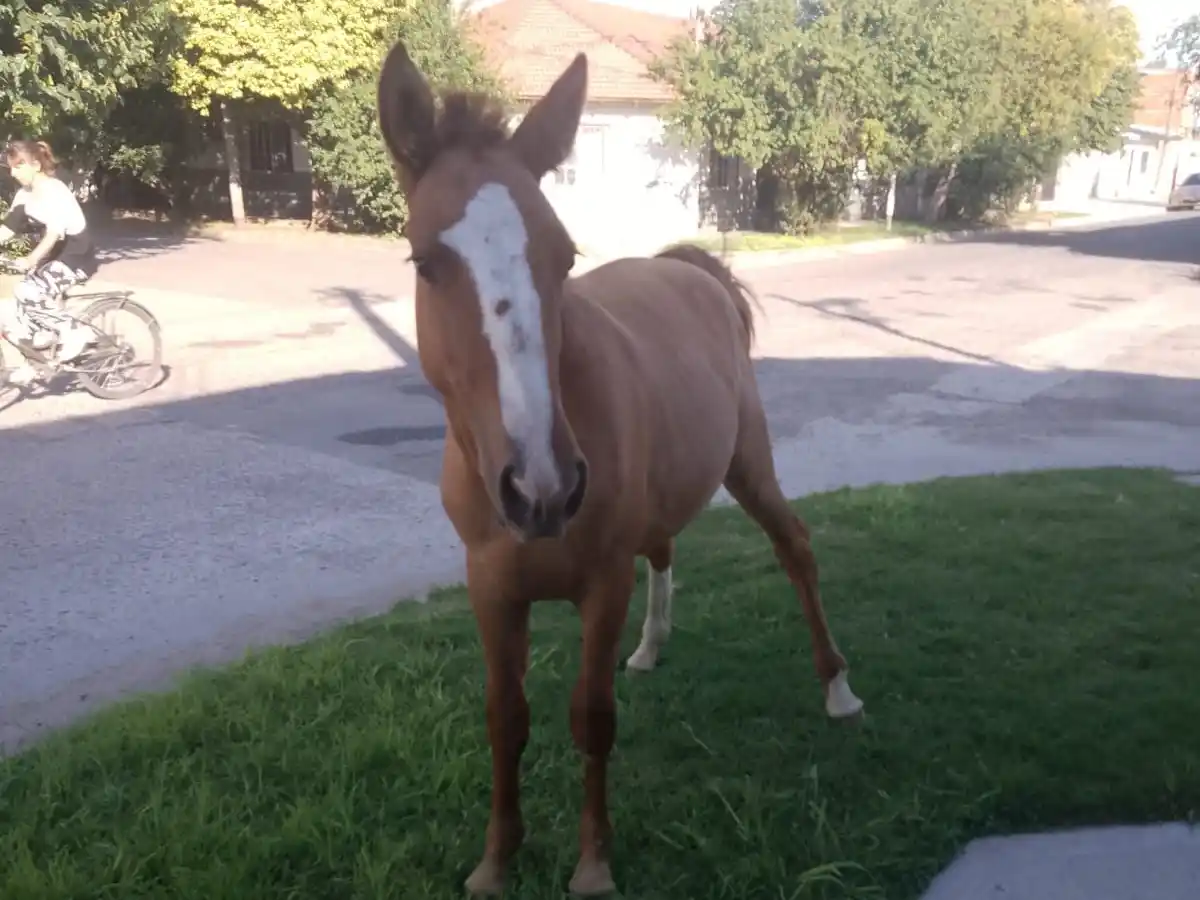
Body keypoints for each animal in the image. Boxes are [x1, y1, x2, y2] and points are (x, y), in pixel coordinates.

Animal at [375, 39, 864, 897]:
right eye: (424, 260)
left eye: (565, 256)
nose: (541, 488)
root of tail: (694, 270)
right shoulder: (490, 588)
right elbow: (505, 717)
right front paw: (495, 861)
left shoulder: (600, 584)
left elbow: (590, 717)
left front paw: (593, 863)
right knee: (663, 547)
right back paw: (651, 645)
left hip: (749, 465)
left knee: (794, 547)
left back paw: (836, 687)